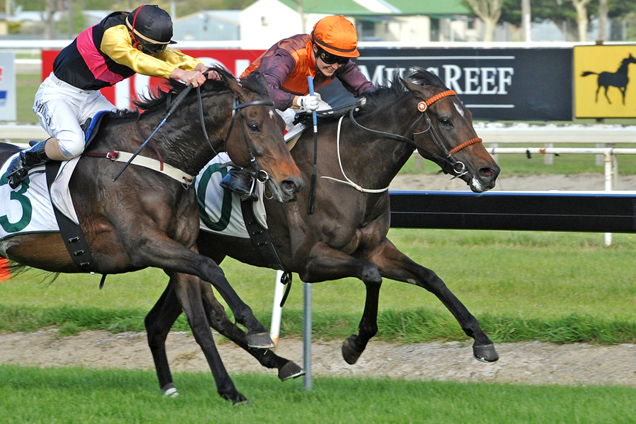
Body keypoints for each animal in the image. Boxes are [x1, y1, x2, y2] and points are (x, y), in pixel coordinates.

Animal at [0, 68, 304, 402]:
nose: (293, 183)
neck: (154, 161)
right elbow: (211, 268)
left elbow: (201, 321)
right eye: (254, 125)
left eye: (282, 124)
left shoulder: (182, 247)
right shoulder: (143, 244)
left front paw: (230, 389)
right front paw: (256, 327)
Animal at [144, 67, 502, 390]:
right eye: (445, 120)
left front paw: (481, 340)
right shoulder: (309, 260)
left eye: (469, 116)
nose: (490, 171)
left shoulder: (375, 248)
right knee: (206, 313)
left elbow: (430, 277)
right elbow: (371, 275)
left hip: (201, 250)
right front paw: (354, 345)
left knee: (161, 320)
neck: (349, 170)